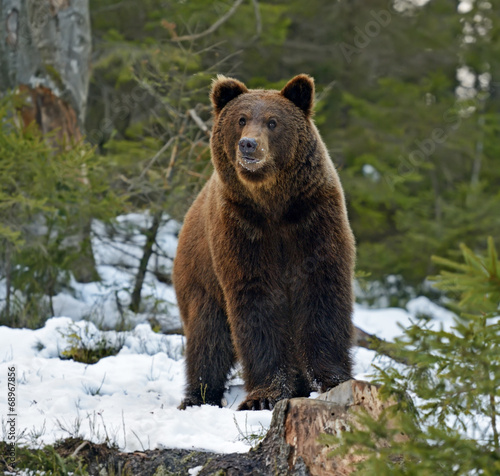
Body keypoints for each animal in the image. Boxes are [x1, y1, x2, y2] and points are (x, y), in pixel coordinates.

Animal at [174, 74, 354, 410]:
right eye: (241, 119)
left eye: (273, 121)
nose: (248, 144)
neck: (273, 203)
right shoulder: (242, 227)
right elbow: (256, 300)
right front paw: (265, 395)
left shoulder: (312, 217)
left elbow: (321, 290)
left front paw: (329, 379)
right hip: (200, 279)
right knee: (208, 338)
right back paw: (198, 396)